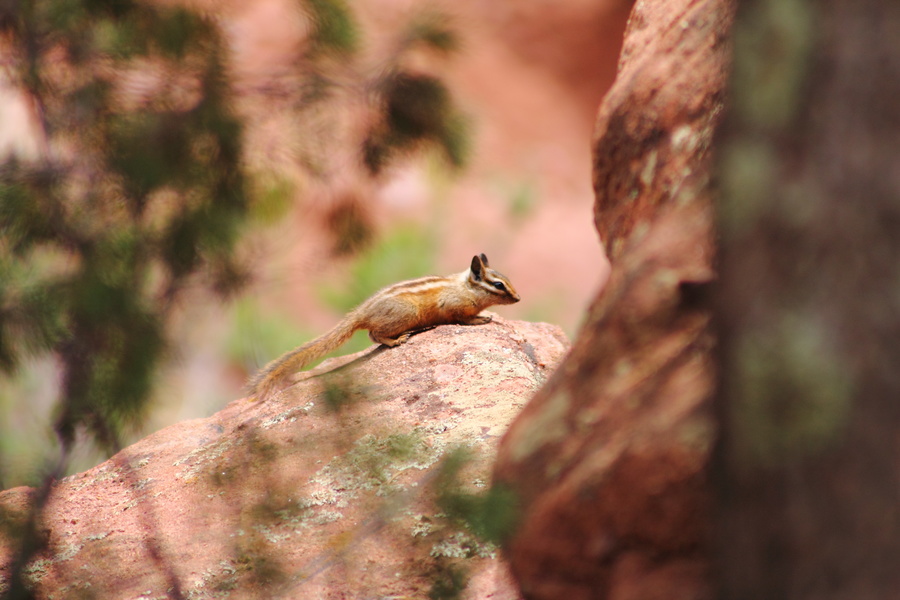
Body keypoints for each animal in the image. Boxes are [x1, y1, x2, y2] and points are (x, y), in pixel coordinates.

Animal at [246, 253, 520, 400]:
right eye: (498, 285)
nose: (518, 299)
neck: (465, 287)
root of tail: (362, 312)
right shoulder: (453, 307)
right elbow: (462, 318)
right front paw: (480, 319)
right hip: (406, 314)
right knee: (374, 334)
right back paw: (397, 339)